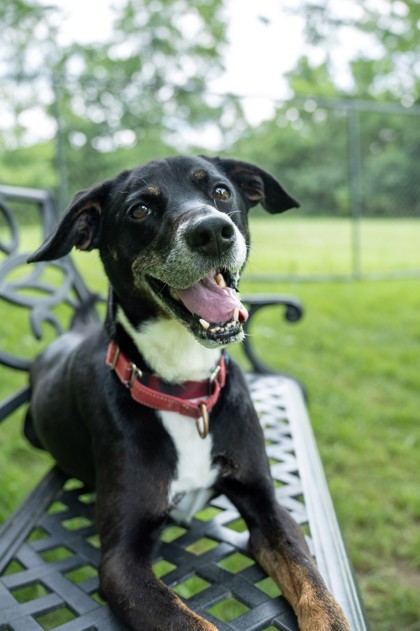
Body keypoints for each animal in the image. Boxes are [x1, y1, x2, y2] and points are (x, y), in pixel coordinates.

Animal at [24, 154, 350, 631]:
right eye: (140, 209)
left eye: (220, 191)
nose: (212, 231)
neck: (185, 391)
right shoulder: (121, 559)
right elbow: (189, 621)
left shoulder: (269, 508)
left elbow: (315, 587)